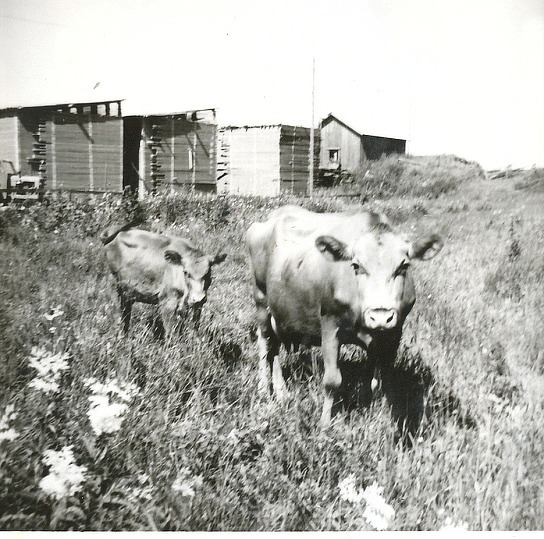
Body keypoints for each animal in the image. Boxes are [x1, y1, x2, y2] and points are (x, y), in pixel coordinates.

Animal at [246, 205, 442, 428]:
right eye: (356, 265)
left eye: (403, 266)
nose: (380, 317)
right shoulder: (330, 327)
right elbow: (332, 381)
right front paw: (324, 425)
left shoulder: (393, 334)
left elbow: (380, 380)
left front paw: (380, 419)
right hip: (261, 299)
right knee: (265, 343)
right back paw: (264, 389)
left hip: (280, 313)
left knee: (276, 347)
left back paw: (281, 392)